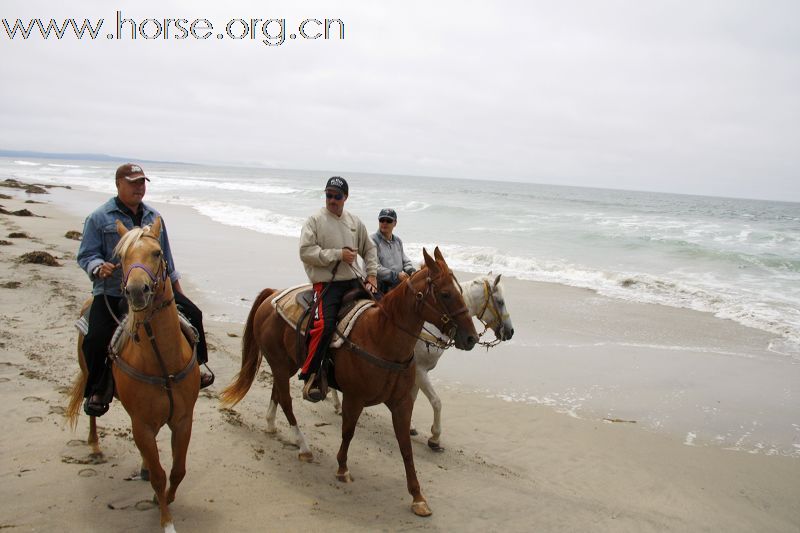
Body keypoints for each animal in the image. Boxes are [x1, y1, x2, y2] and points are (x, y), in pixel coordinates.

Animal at [67, 217, 202, 532]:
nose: (137, 290)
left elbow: (177, 470)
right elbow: (160, 475)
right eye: (121, 257)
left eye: (157, 252)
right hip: (88, 373)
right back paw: (95, 447)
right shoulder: (141, 423)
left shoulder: (182, 420)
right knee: (91, 412)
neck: (163, 363)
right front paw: (166, 520)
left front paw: (164, 499)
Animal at [220, 248, 476, 516]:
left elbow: (406, 447)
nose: (471, 337)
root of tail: (272, 294)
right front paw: (342, 468)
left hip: (287, 364)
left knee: (277, 392)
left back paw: (271, 424)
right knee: (287, 402)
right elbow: (348, 431)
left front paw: (417, 496)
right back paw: (303, 446)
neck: (381, 338)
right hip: (279, 364)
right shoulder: (354, 399)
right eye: (445, 294)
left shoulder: (401, 404)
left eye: (460, 291)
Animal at [330, 272, 512, 450]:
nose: (510, 332)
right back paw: (337, 405)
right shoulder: (420, 371)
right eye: (500, 302)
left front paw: (410, 427)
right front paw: (435, 437)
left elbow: (412, 398)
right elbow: (436, 402)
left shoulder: (414, 375)